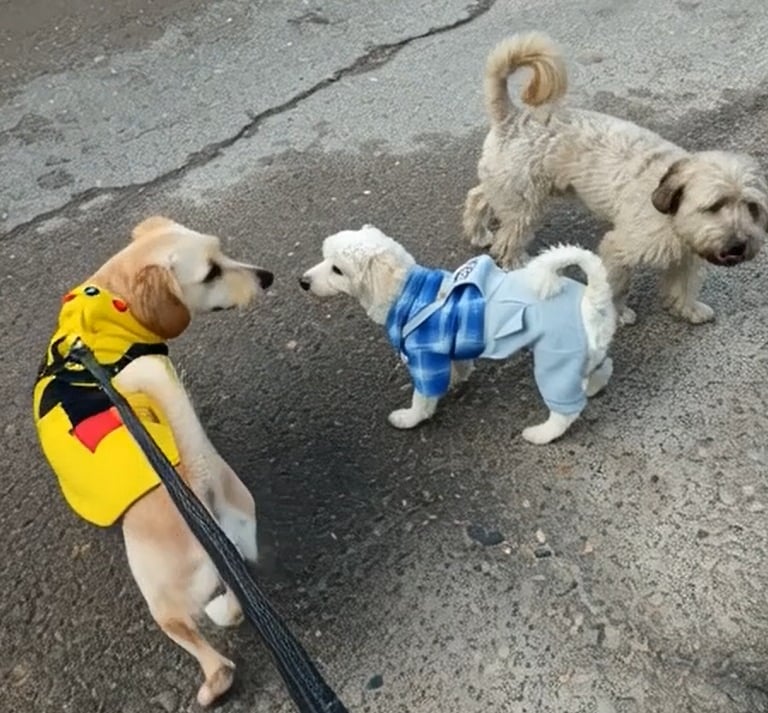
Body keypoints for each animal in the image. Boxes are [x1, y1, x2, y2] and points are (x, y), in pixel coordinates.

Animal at [32, 216, 273, 707]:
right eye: (212, 270)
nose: (266, 278)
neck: (109, 303)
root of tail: (197, 475)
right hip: (234, 544)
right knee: (237, 605)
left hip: (160, 593)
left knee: (208, 651)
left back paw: (212, 685)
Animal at [300, 225, 616, 444]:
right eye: (325, 259)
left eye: (337, 269)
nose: (303, 282)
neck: (407, 292)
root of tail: (592, 299)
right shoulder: (448, 348)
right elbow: (459, 366)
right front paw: (455, 380)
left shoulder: (424, 357)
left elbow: (422, 399)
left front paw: (410, 418)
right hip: (585, 355)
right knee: (604, 367)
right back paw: (591, 386)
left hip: (556, 361)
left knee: (566, 411)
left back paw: (542, 433)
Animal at [462, 31, 768, 326]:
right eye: (715, 206)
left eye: (752, 208)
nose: (739, 246)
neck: (670, 212)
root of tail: (512, 116)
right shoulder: (618, 249)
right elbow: (617, 286)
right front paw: (617, 314)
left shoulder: (687, 256)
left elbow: (683, 285)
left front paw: (687, 309)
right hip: (524, 204)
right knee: (508, 239)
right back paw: (516, 263)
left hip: (507, 186)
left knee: (477, 197)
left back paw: (478, 231)